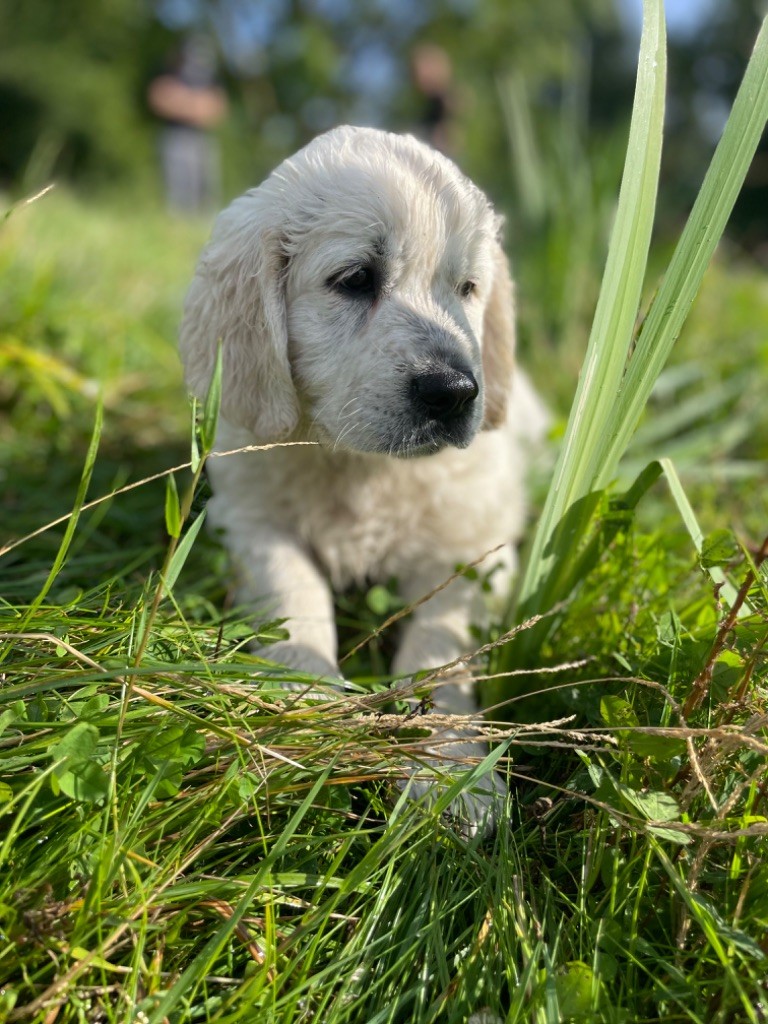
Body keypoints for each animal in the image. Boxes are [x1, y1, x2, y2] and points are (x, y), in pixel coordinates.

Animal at [179, 125, 548, 831]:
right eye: (355, 279)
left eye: (467, 288)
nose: (457, 392)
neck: (361, 465)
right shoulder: (252, 523)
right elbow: (294, 594)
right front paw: (302, 711)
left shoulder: (473, 552)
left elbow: (439, 648)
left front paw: (448, 770)